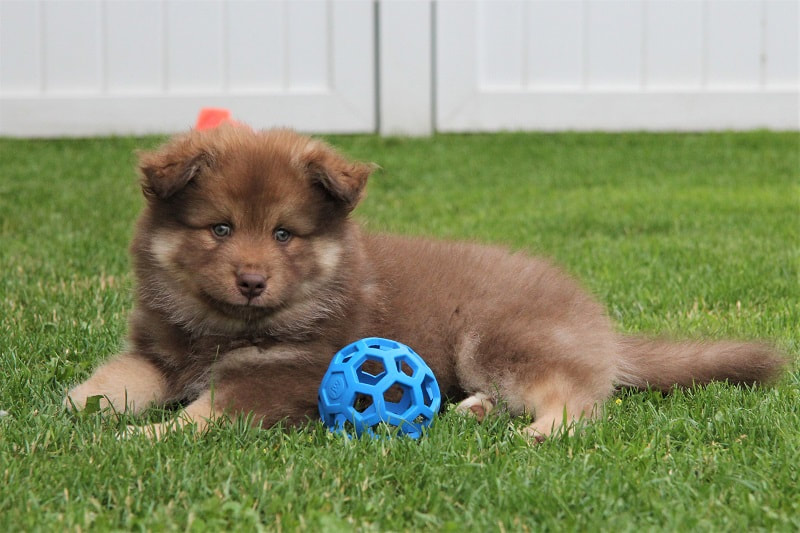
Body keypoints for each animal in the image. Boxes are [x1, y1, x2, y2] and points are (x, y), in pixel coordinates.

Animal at [65, 127, 784, 438]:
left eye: (283, 234)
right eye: (219, 228)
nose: (250, 279)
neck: (221, 330)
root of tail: (597, 323)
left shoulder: (285, 375)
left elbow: (203, 414)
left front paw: (143, 439)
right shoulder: (155, 351)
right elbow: (112, 382)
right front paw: (73, 411)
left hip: (497, 340)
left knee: (578, 398)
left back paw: (538, 433)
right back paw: (471, 410)